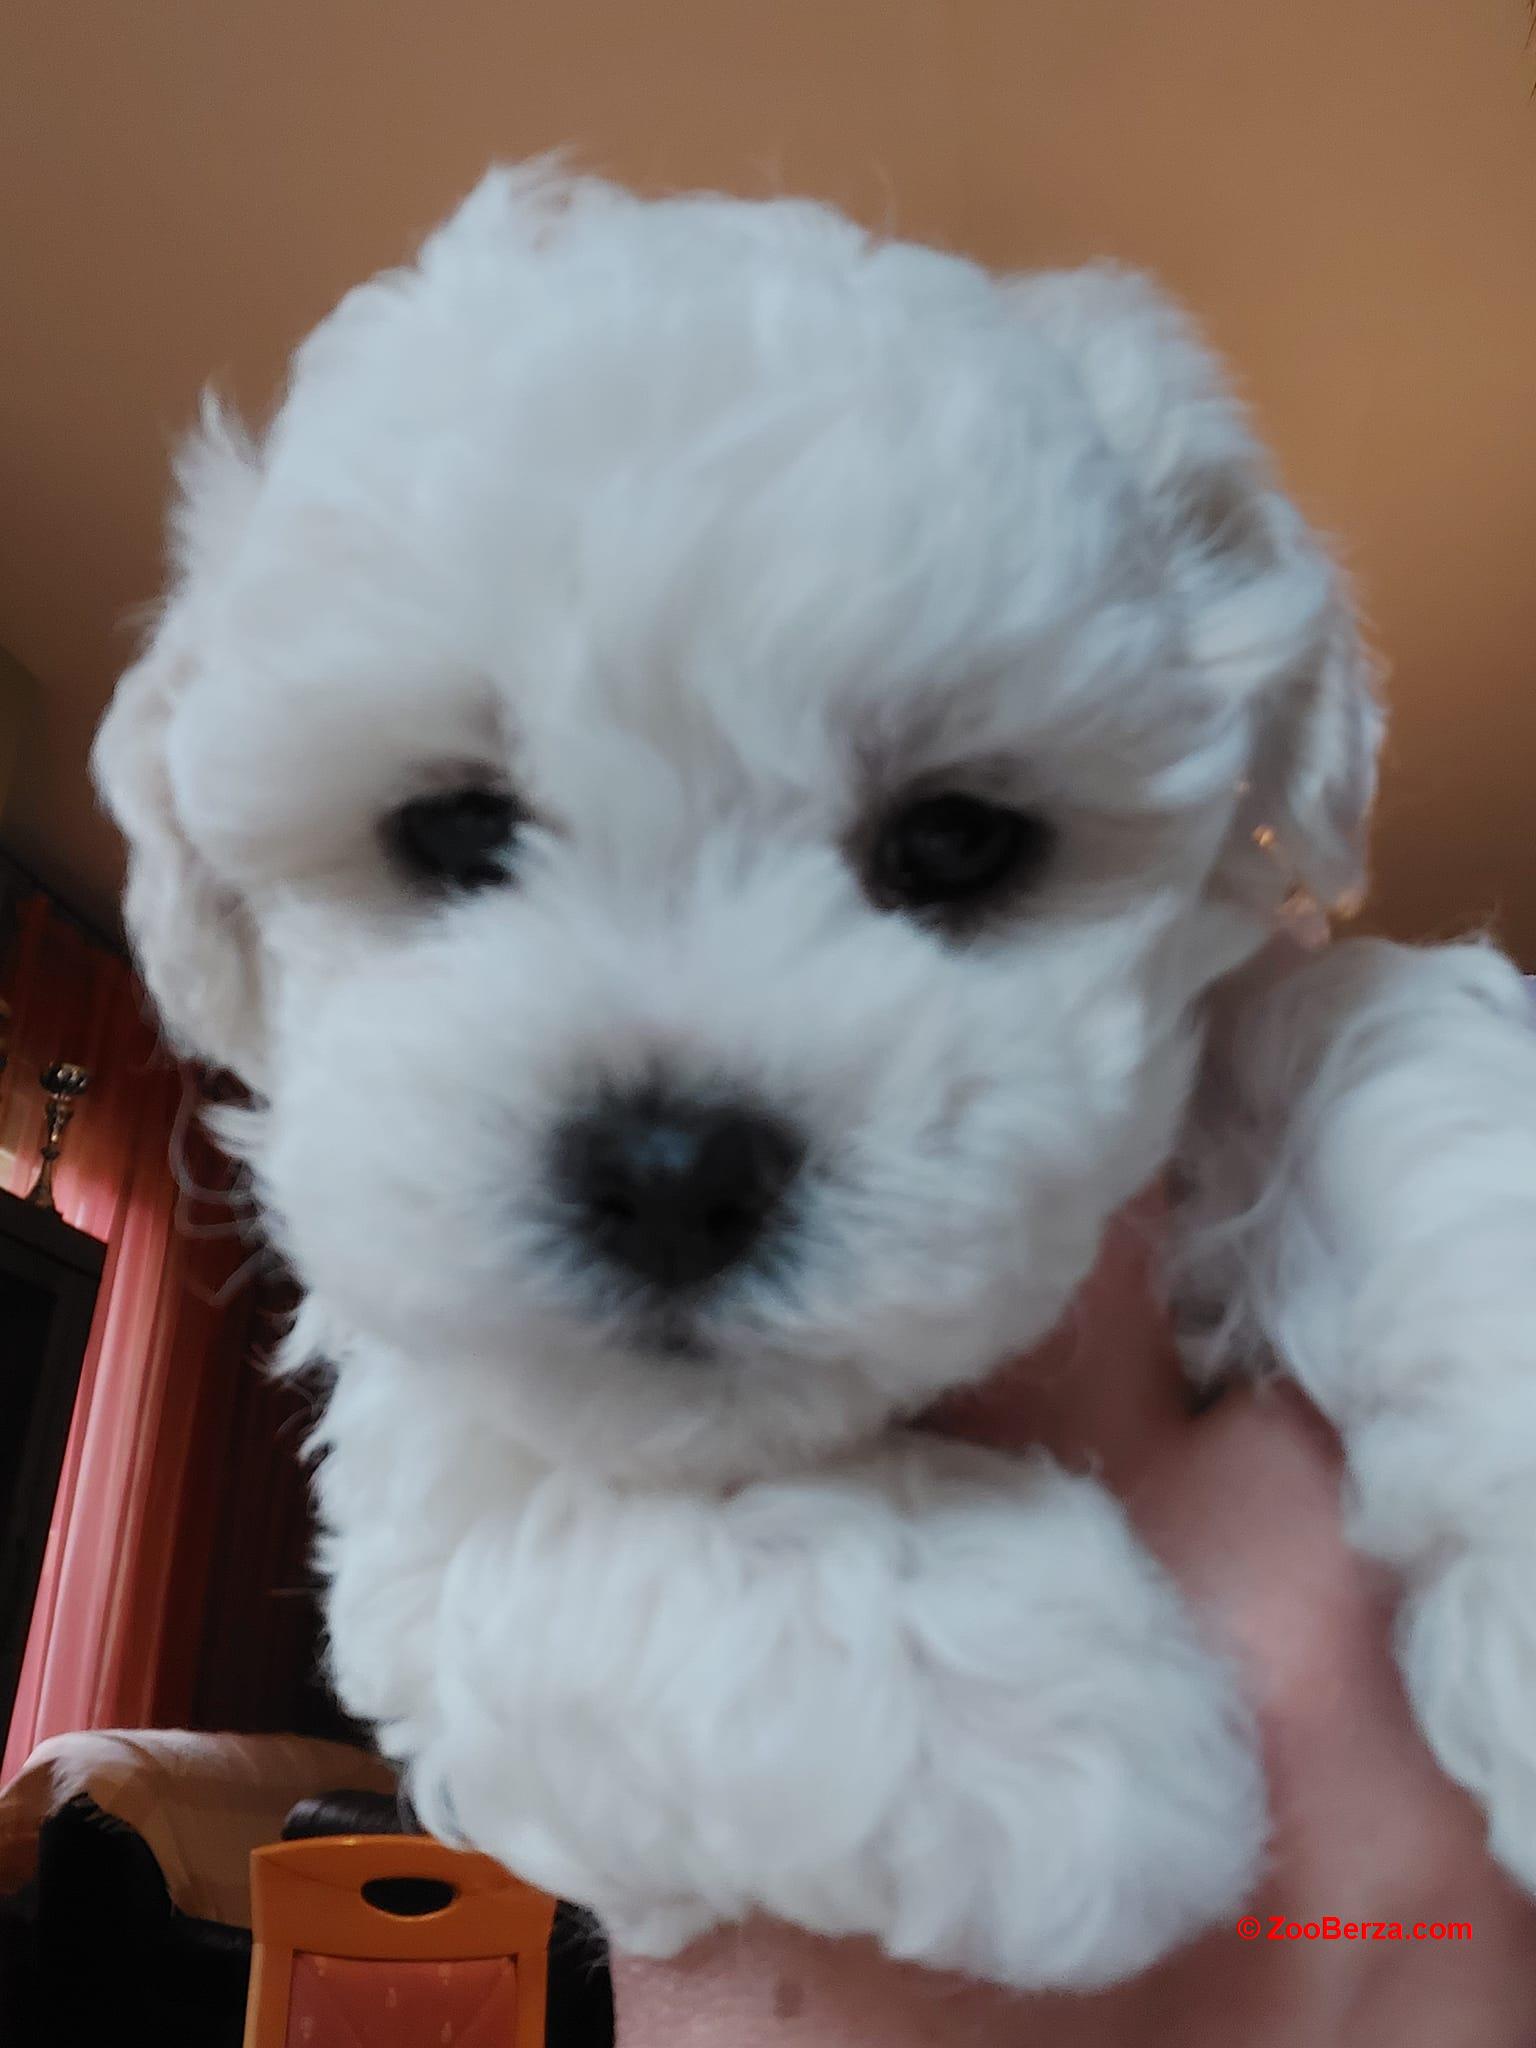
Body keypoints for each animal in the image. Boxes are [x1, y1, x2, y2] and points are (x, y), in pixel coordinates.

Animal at [99, 167, 1536, 1990]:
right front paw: (1044, 1717)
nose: (670, 1170)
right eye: (451, 830)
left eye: (958, 840)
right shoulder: (421, 1477)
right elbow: (565, 1527)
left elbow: (1384, 1059)